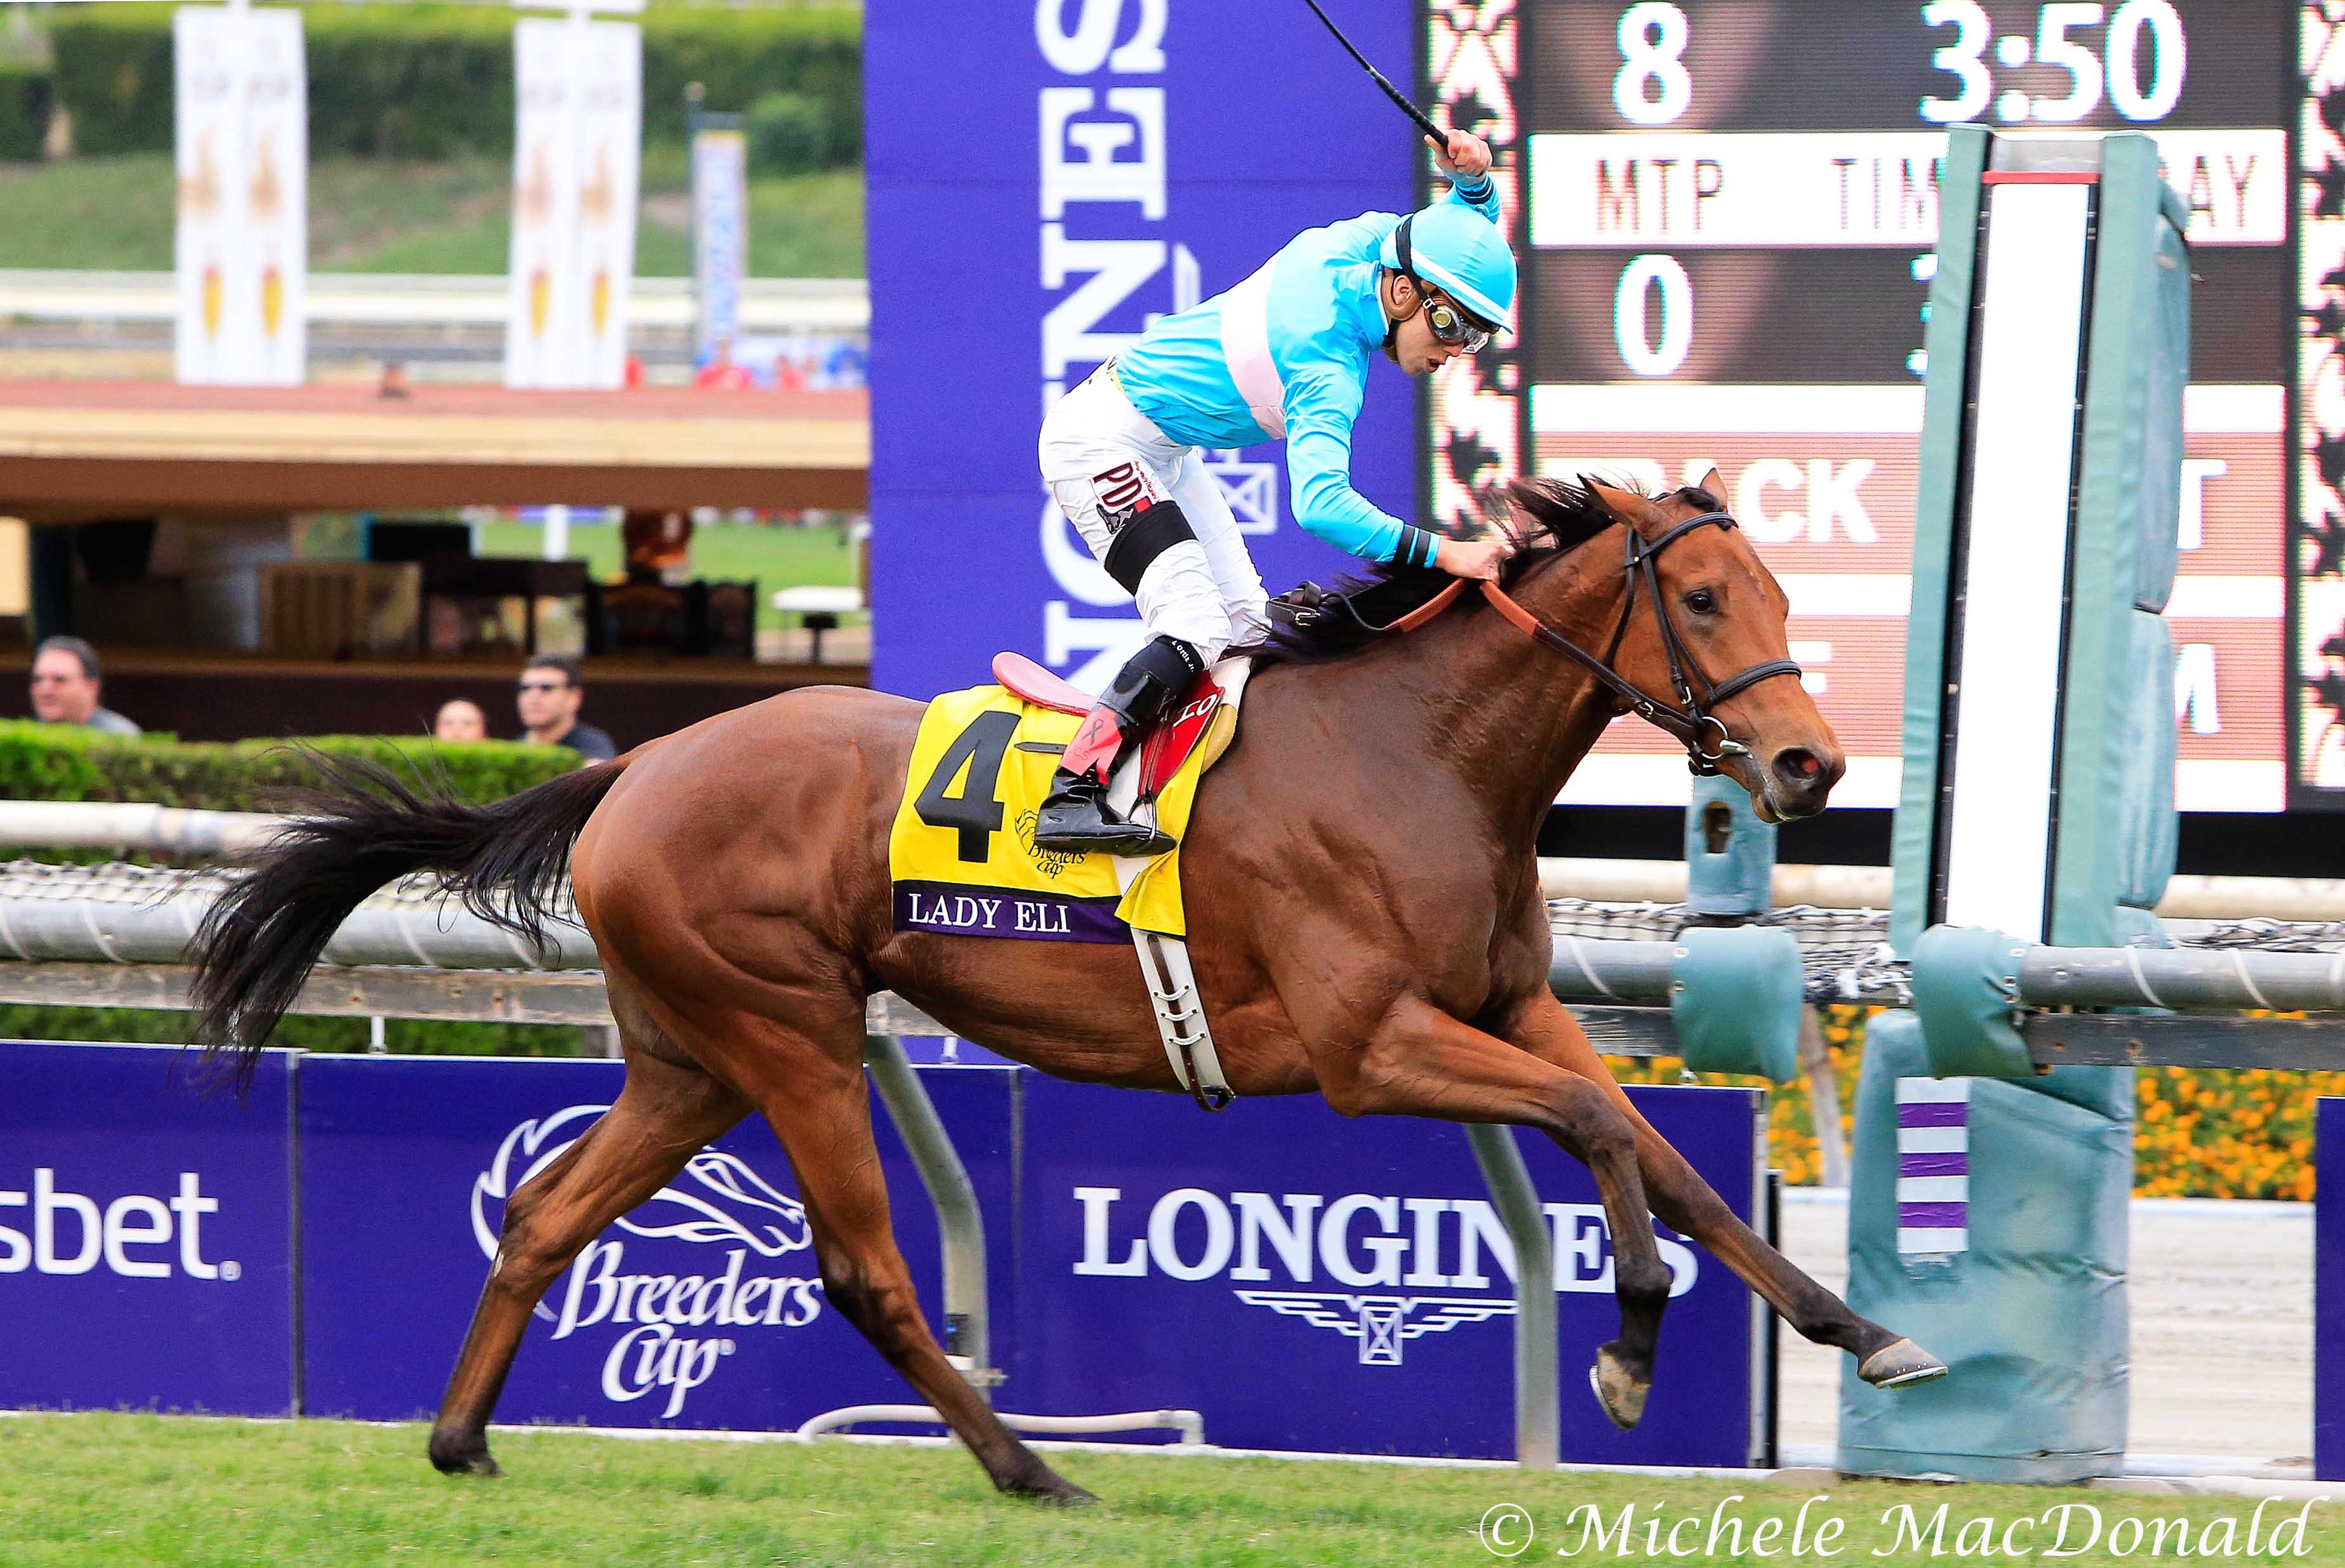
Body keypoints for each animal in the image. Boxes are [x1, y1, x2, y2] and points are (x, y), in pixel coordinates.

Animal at [187, 471, 1941, 1499]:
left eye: (1784, 593)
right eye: (1703, 597)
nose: (1808, 763)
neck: (1417, 751)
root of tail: (631, 767)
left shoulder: (1509, 1002)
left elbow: (1648, 1144)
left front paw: (1859, 1329)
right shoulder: (1371, 1044)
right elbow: (1589, 1128)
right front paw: (1630, 1339)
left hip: (690, 1054)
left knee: (550, 1210)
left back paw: (461, 1436)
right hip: (792, 1027)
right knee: (863, 1265)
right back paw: (1031, 1466)